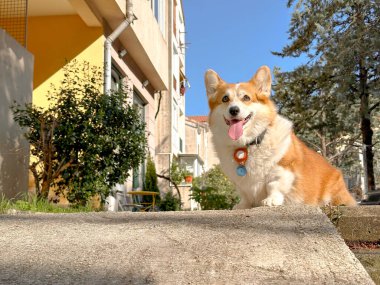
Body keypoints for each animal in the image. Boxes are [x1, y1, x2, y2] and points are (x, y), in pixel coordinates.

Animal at [205, 65, 356, 207]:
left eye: (246, 98)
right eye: (225, 99)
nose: (234, 110)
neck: (248, 143)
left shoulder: (283, 166)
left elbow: (273, 185)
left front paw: (271, 200)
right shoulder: (240, 182)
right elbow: (244, 194)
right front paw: (243, 205)